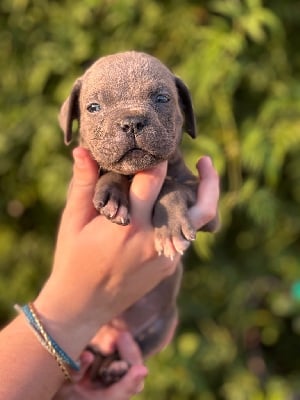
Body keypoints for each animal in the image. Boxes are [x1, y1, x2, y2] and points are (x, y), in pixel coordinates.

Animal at [58, 50, 214, 384]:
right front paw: (112, 193)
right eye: (93, 107)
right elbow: (112, 172)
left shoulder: (206, 205)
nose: (131, 122)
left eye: (162, 98)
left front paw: (170, 228)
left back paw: (114, 368)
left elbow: (171, 186)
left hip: (162, 327)